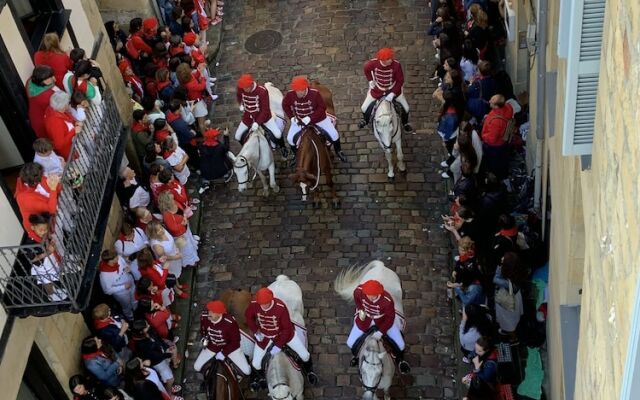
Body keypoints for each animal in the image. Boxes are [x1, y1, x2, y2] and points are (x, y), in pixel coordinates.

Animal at [336, 260, 404, 400]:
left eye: (379, 373)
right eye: (363, 371)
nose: (366, 397)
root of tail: (381, 267)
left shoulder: (387, 383)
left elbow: (386, 391)